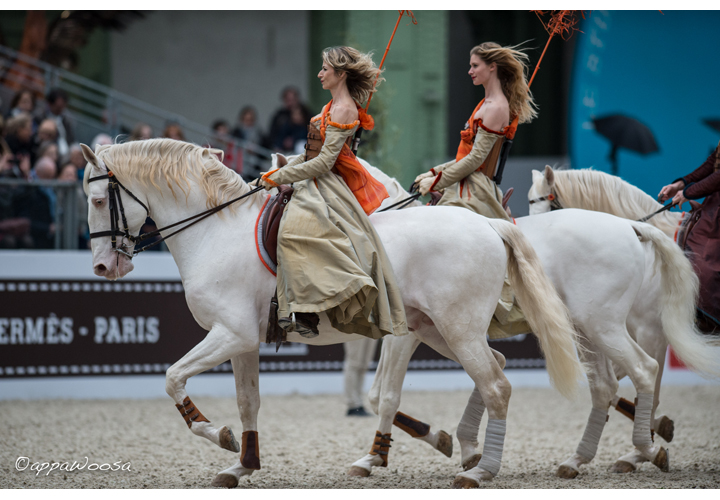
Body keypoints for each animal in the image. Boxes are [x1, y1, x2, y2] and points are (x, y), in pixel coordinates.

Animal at [80, 140, 584, 488]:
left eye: (99, 200)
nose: (103, 267)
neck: (216, 231)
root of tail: (488, 224)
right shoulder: (243, 341)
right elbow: (247, 401)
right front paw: (242, 465)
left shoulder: (229, 334)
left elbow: (172, 377)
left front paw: (217, 433)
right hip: (439, 331)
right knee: (493, 370)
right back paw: (467, 451)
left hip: (455, 330)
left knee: (496, 385)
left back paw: (481, 471)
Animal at [350, 162, 720, 482]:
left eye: (540, 199)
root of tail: (631, 227)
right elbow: (379, 395)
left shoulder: (405, 335)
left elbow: (385, 396)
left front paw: (388, 452)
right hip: (590, 329)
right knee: (610, 384)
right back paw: (587, 457)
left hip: (616, 327)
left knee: (644, 374)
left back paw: (640, 448)